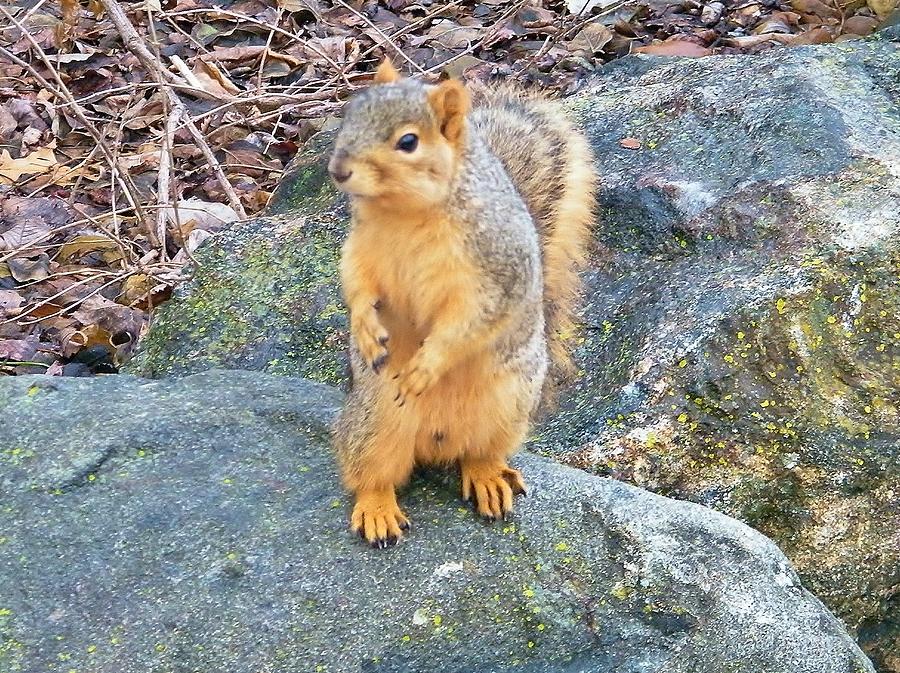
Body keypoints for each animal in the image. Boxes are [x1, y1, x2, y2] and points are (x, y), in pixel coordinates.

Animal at [326, 60, 596, 544]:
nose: (338, 170)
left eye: (408, 142)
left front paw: (427, 366)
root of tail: (437, 442)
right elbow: (356, 283)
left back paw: (489, 479)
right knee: (370, 471)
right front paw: (364, 328)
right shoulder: (360, 248)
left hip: (507, 409)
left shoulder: (494, 270)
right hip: (374, 421)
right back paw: (377, 509)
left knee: (479, 454)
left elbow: (470, 320)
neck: (406, 213)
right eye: (349, 115)